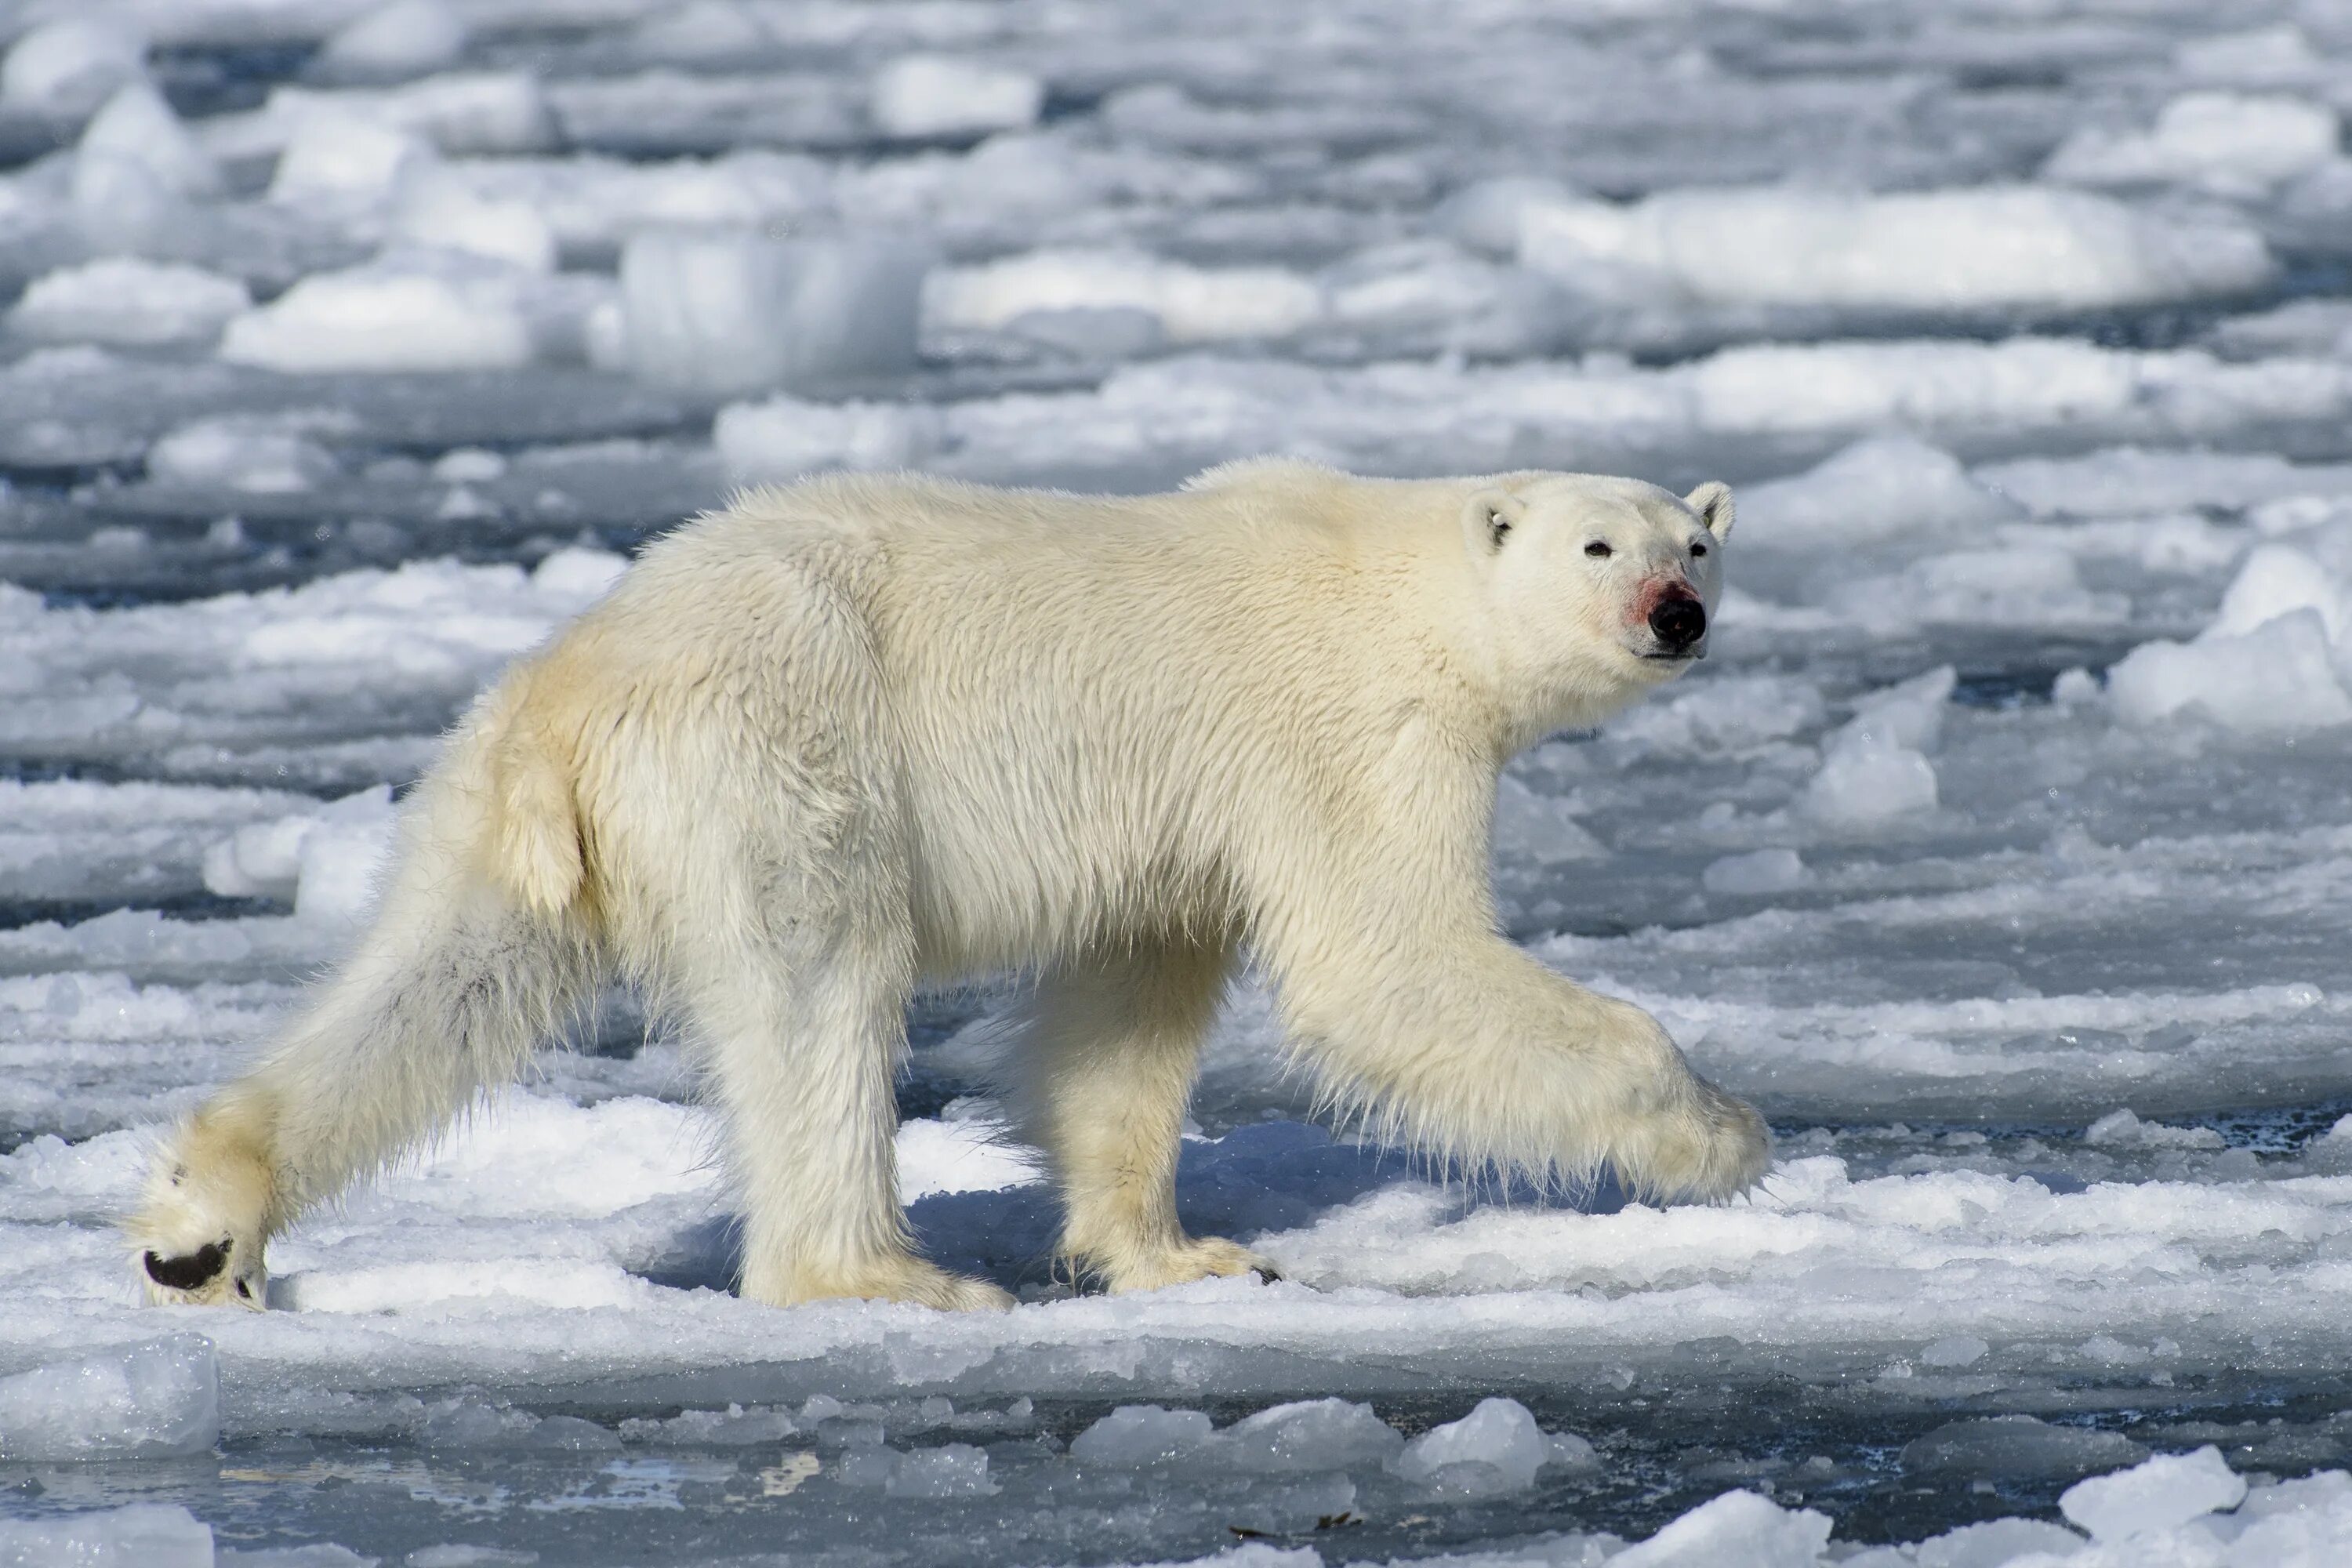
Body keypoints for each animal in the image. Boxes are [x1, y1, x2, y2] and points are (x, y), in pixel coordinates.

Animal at [133, 463, 1769, 1316]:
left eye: (1698, 544)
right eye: (1600, 543)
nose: (1675, 612)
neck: (1399, 574)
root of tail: (578, 683)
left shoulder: (1179, 823)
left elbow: (1129, 1009)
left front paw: (1180, 1252)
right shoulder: (1354, 730)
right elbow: (1388, 964)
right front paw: (1720, 1138)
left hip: (501, 811)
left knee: (442, 984)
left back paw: (205, 1227)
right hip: (783, 754)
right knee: (818, 989)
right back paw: (882, 1277)